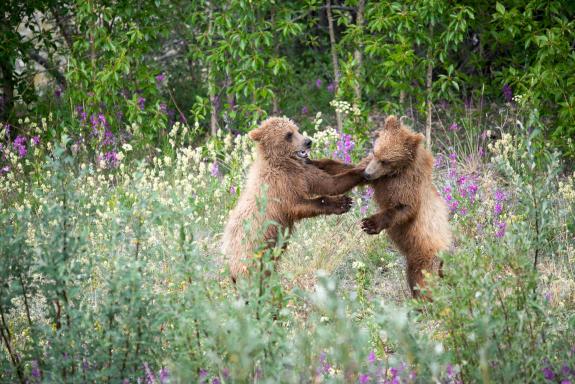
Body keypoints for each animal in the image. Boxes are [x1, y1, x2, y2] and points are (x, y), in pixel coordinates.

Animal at [224, 117, 364, 282]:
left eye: (296, 129)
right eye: (288, 134)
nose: (308, 141)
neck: (282, 162)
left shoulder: (302, 174)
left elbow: (327, 180)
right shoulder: (282, 188)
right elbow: (302, 204)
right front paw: (343, 201)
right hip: (251, 257)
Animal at [312, 115, 452, 298]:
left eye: (386, 160)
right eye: (374, 152)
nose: (367, 174)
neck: (394, 173)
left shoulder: (408, 185)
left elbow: (403, 208)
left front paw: (369, 224)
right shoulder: (376, 175)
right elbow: (345, 169)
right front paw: (314, 161)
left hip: (424, 255)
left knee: (421, 280)